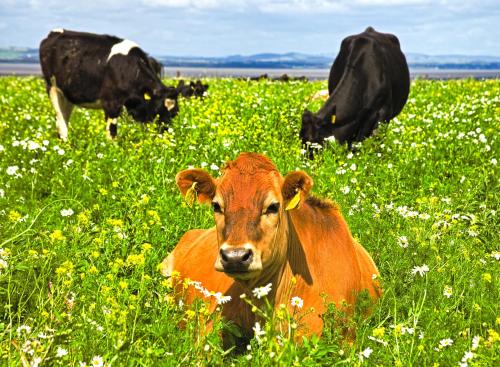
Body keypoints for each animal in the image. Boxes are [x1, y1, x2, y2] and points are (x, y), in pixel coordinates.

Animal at [39, 28, 180, 141]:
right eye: (158, 110)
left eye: (174, 113)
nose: (164, 135)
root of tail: (53, 33)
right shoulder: (111, 103)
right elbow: (112, 132)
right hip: (53, 88)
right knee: (60, 120)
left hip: (68, 94)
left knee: (65, 117)